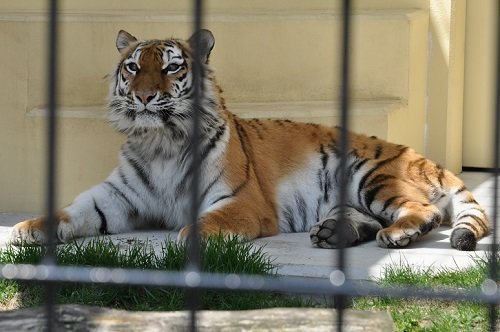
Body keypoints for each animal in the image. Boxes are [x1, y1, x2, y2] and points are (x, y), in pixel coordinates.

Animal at [9, 29, 490, 252]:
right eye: (133, 67)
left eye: (170, 67)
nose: (144, 96)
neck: (159, 141)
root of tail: (420, 156)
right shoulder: (113, 199)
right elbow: (69, 212)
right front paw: (26, 228)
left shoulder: (241, 201)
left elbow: (206, 223)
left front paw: (187, 239)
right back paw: (334, 231)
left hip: (370, 176)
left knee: (426, 210)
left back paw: (397, 234)